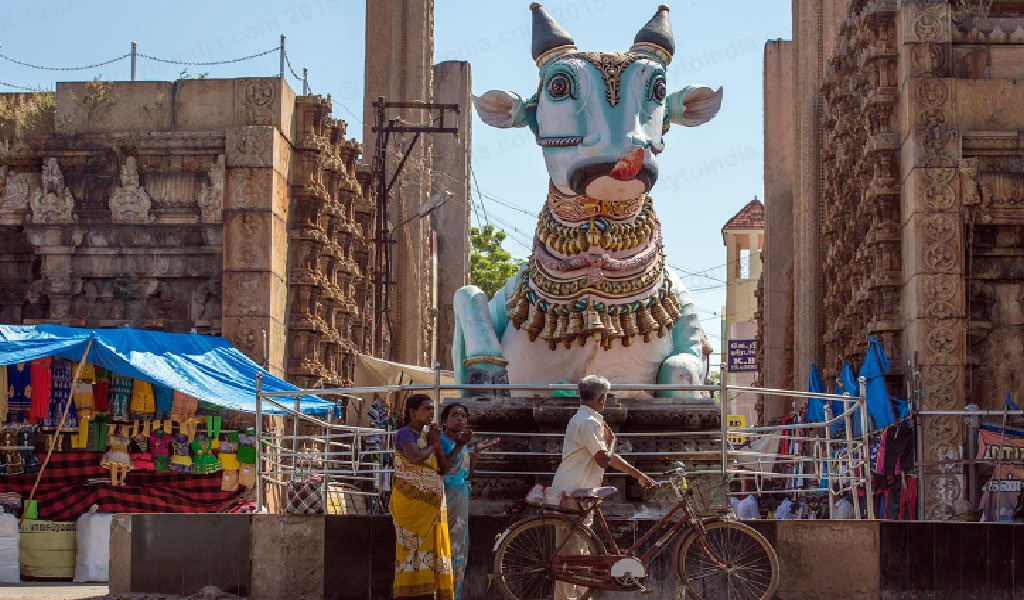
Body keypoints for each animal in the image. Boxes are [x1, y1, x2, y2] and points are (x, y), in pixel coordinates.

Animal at [452, 4, 724, 395]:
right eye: (558, 85)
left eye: (659, 89)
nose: (623, 156)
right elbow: (467, 292)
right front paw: (484, 373)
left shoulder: (689, 324)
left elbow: (680, 369)